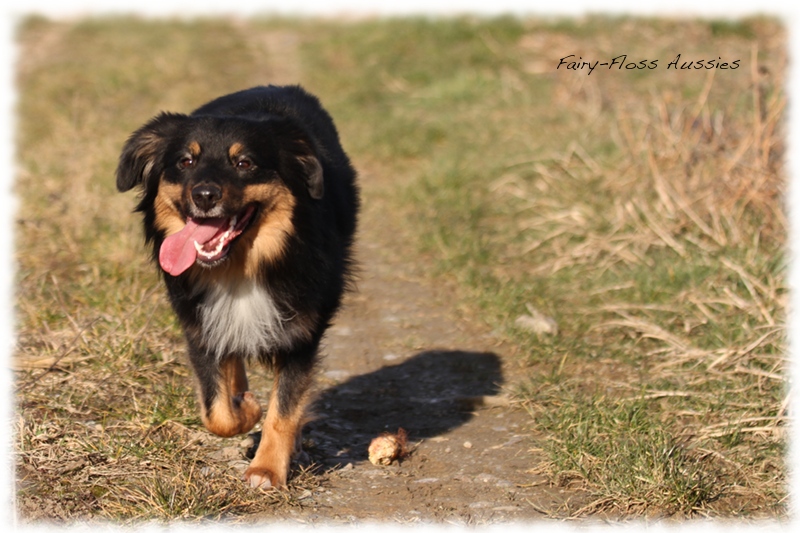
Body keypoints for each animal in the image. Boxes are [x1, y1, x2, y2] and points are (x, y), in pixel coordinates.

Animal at [115, 85, 360, 488]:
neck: (239, 270)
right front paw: (246, 406)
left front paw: (266, 470)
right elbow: (217, 411)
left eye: (244, 163)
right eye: (185, 161)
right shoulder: (200, 322)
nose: (204, 195)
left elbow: (283, 410)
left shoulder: (302, 331)